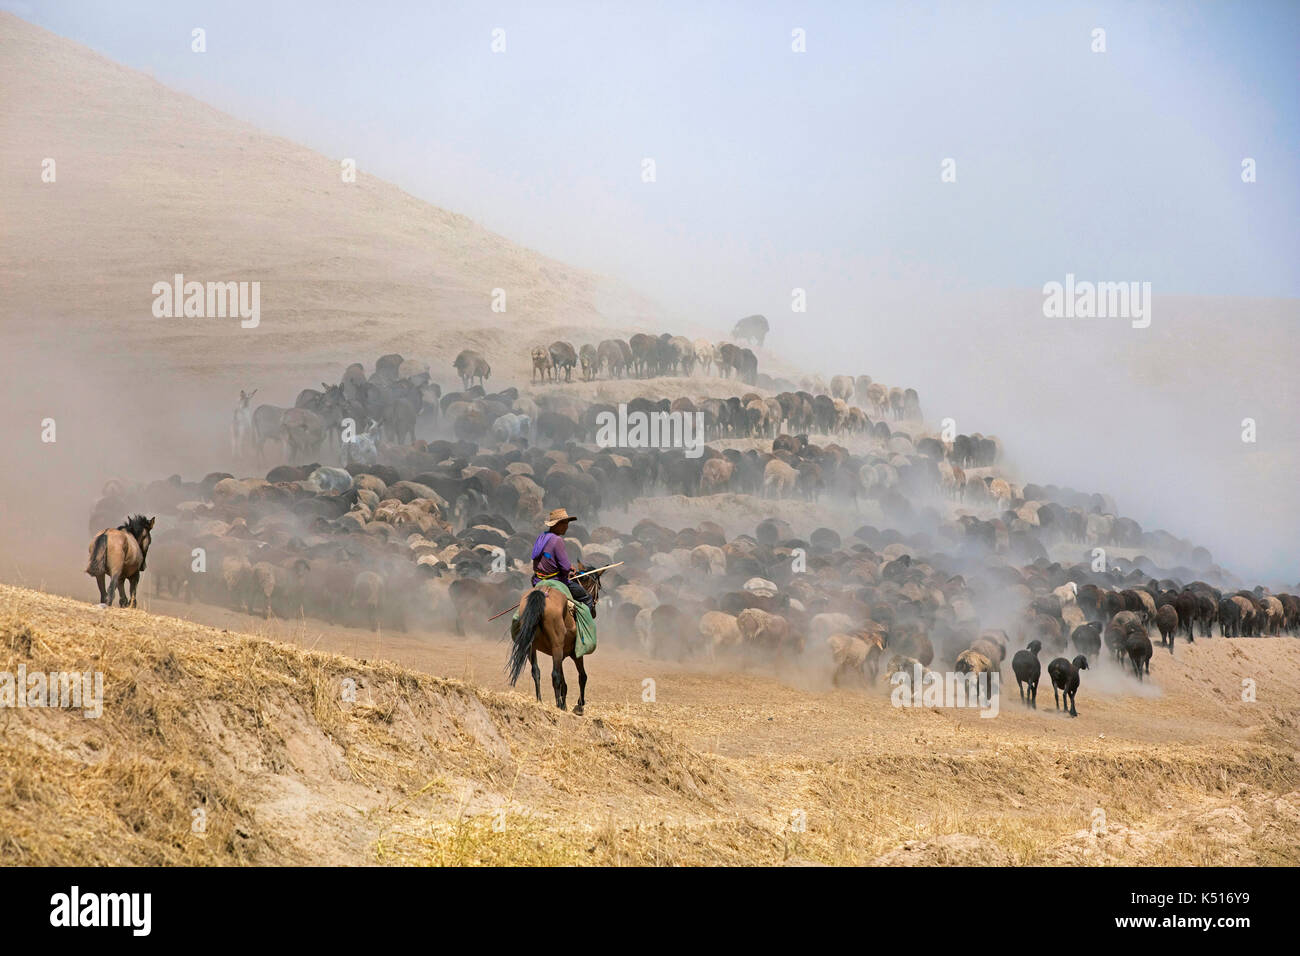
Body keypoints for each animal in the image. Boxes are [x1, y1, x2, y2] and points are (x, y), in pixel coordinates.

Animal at [509, 564, 605, 712]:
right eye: (598, 587)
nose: (594, 612)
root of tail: (543, 592)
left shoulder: (561, 654)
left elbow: (564, 683)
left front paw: (564, 705)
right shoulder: (575, 654)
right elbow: (582, 676)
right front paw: (579, 705)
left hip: (532, 647)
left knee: (536, 671)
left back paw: (540, 701)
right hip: (557, 646)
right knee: (555, 675)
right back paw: (557, 704)